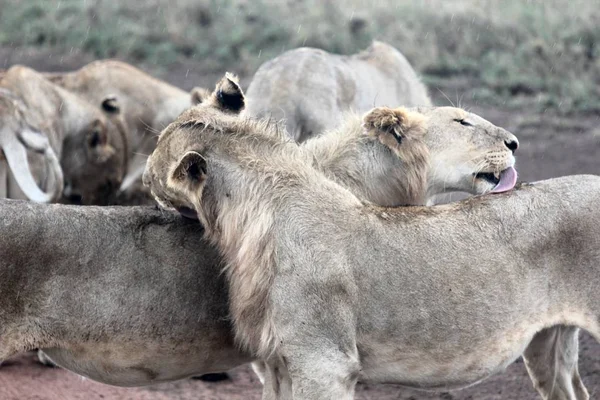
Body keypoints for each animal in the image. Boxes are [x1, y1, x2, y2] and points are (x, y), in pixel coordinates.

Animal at [144, 76, 596, 400]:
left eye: (157, 149)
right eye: (462, 121)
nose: (146, 175)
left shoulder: (325, 363)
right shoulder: (276, 364)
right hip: (548, 343)